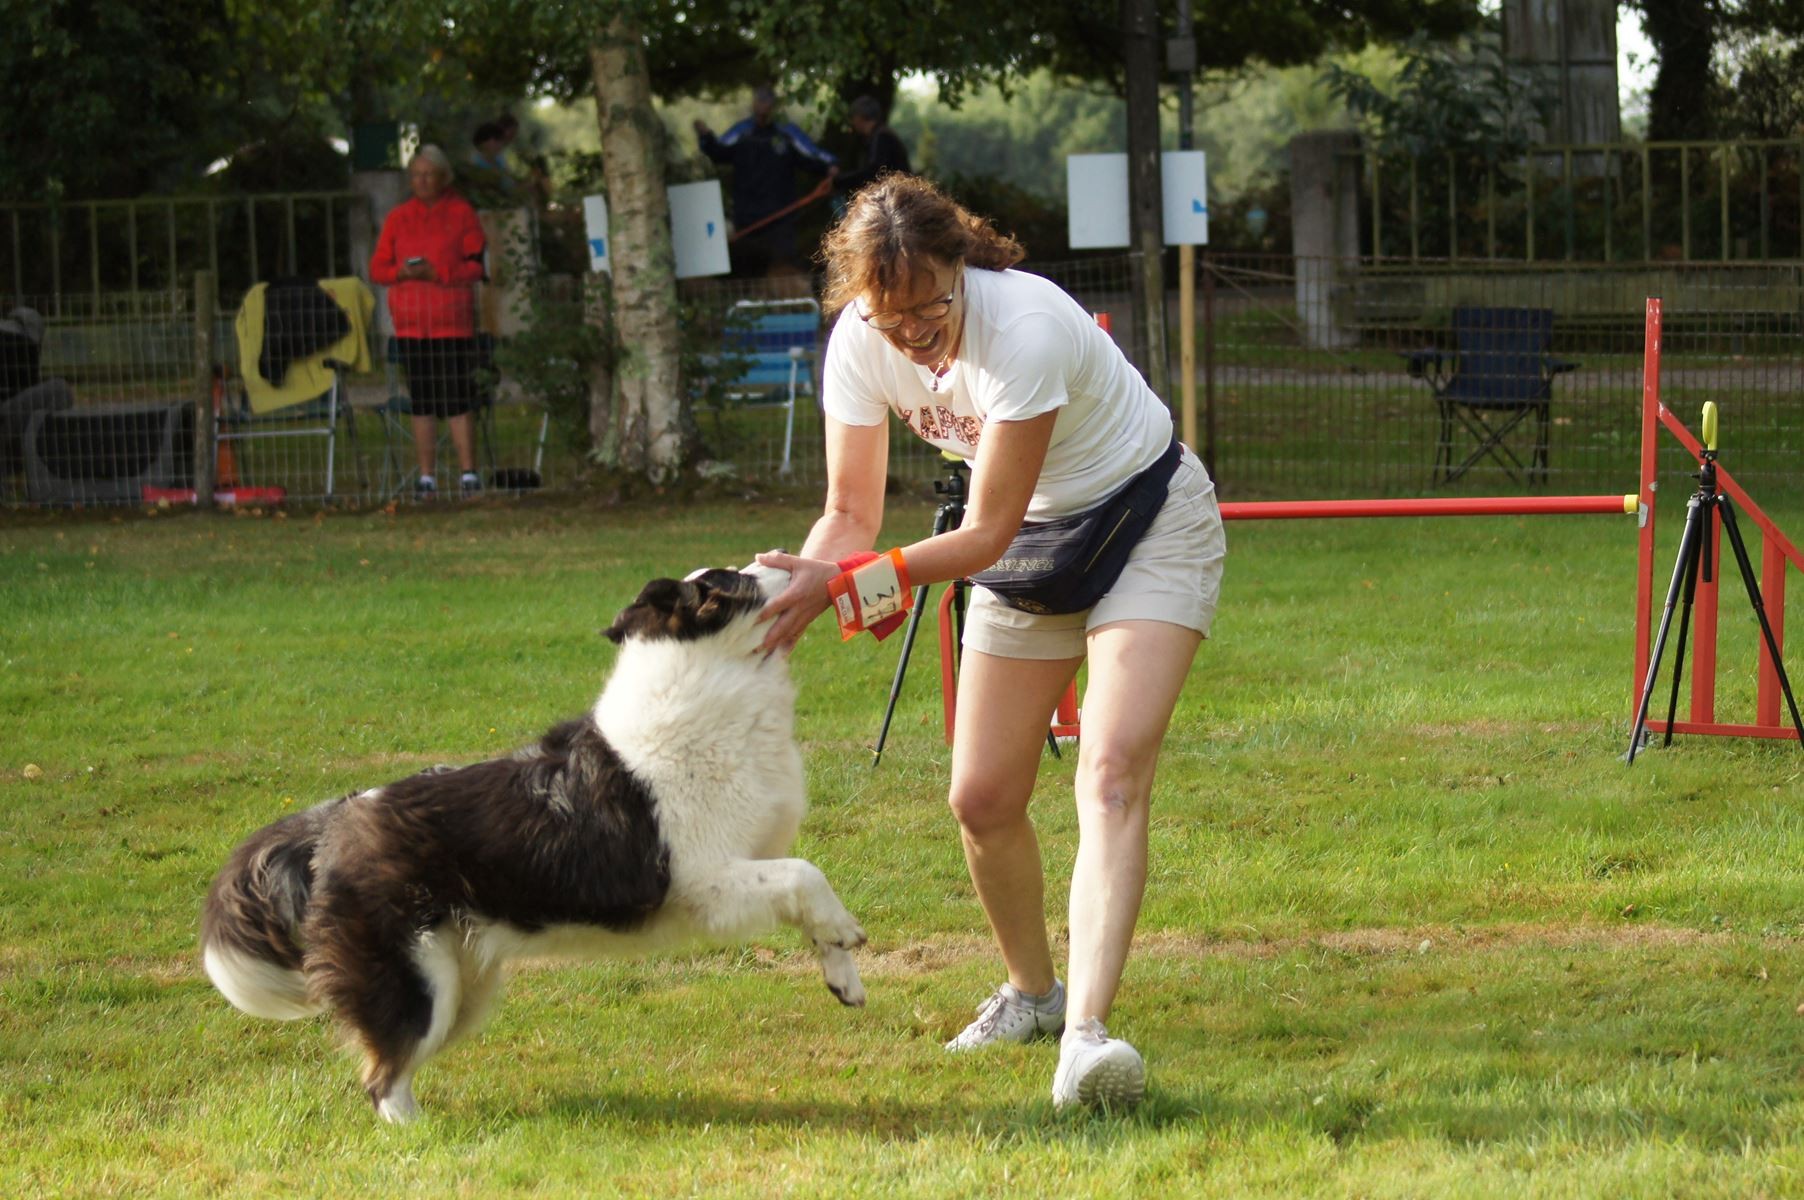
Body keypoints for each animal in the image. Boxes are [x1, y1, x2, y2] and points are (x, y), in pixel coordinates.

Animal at [204, 563, 865, 1126]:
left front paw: (842, 972)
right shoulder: (702, 879)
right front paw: (847, 931)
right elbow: (805, 871)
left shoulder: (748, 861)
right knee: (382, 1077)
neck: (709, 687)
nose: (793, 559)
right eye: (735, 581)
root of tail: (330, 823)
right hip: (418, 984)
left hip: (462, 985)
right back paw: (421, 1142)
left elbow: (805, 899)